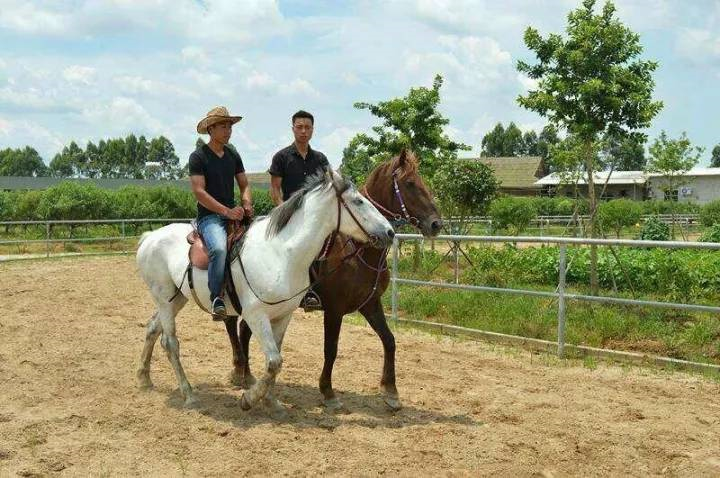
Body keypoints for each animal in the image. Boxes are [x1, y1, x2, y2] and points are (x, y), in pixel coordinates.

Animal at [135, 171, 394, 410]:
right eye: (358, 201)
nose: (390, 232)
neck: (281, 253)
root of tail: (150, 237)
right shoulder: (257, 315)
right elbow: (274, 361)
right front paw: (249, 399)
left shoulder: (283, 314)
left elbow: (276, 358)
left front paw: (270, 400)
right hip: (165, 299)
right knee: (171, 343)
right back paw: (188, 394)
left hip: (176, 298)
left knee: (153, 328)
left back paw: (144, 378)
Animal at [222, 149, 442, 410]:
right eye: (410, 183)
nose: (436, 224)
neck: (358, 251)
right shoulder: (334, 309)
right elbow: (331, 349)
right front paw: (328, 392)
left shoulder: (370, 304)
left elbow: (389, 340)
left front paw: (391, 392)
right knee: (237, 327)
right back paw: (242, 374)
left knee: (244, 330)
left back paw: (246, 376)